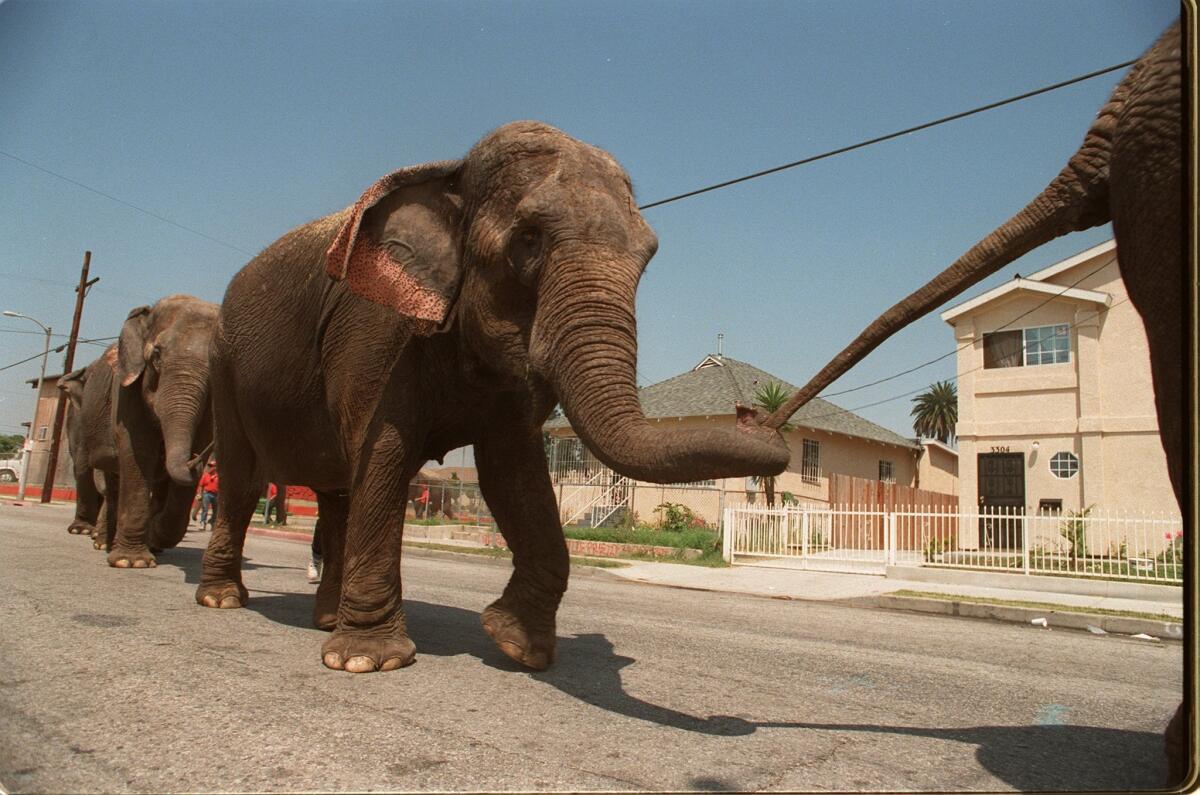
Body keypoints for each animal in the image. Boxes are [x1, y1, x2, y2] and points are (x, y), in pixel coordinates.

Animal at [195, 121, 787, 677]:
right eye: (528, 239)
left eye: (648, 256)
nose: (757, 418)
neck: (451, 176)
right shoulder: (373, 327)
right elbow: (383, 453)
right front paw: (368, 660)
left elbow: (513, 472)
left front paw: (518, 647)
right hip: (224, 366)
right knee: (245, 480)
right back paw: (223, 600)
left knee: (337, 492)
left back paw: (323, 619)